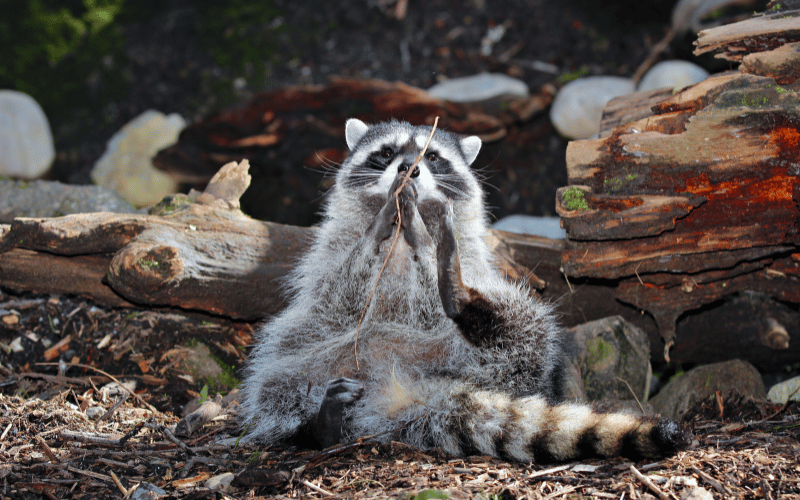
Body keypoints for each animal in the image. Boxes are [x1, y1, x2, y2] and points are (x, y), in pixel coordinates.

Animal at [241, 117, 692, 460]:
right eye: (386, 153)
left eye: (433, 157)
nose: (408, 170)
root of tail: (397, 388)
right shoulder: (326, 259)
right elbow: (338, 302)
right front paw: (377, 231)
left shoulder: (473, 254)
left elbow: (433, 303)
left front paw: (425, 247)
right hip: (309, 359)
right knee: (270, 385)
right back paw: (318, 425)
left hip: (480, 360)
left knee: (528, 335)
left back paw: (463, 298)